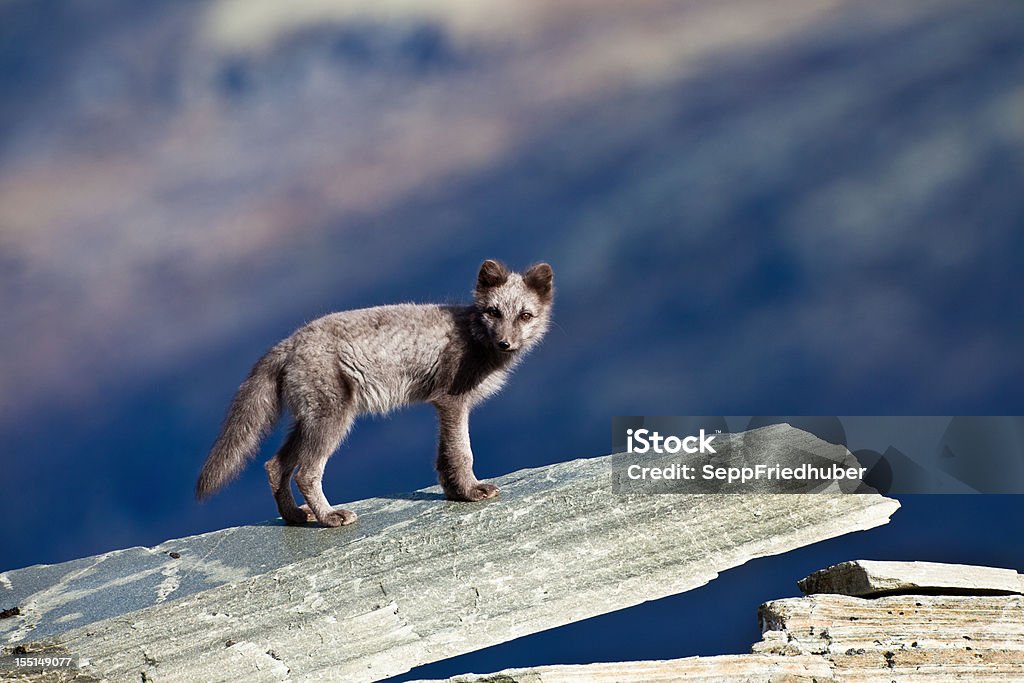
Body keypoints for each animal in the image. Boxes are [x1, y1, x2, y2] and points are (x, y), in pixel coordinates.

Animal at [196, 260, 557, 528]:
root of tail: (290, 342)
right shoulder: (453, 402)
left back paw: (296, 517)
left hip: (308, 421)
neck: (472, 335)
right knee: (305, 473)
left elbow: (443, 457)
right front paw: (471, 491)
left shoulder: (442, 406)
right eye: (494, 312)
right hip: (331, 421)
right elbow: (462, 453)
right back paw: (330, 517)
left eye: (525, 315)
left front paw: (455, 493)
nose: (505, 343)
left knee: (275, 465)